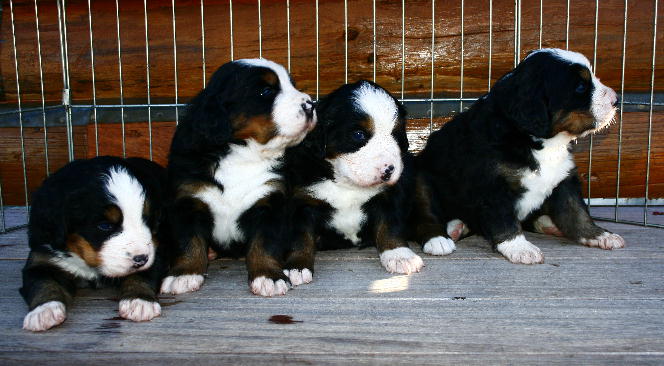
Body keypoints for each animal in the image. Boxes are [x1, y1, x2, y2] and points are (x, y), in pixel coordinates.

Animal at [21, 157, 167, 332]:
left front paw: (139, 301)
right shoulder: (43, 258)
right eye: (105, 226)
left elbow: (142, 275)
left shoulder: (156, 249)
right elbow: (44, 283)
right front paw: (43, 311)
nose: (141, 259)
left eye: (147, 219)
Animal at [161, 58, 316, 298]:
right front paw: (184, 274)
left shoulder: (270, 202)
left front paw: (268, 276)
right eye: (266, 91)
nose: (310, 105)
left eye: (293, 85)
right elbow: (188, 241)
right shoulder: (188, 199)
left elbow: (264, 243)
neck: (243, 153)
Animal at [284, 79, 420, 274]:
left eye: (395, 134)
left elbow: (390, 227)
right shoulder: (302, 203)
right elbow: (300, 238)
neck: (347, 183)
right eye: (358, 134)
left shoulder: (387, 197)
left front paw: (399, 255)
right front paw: (297, 267)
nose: (389, 169)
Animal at [412, 48, 624, 264]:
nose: (616, 100)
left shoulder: (563, 179)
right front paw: (520, 248)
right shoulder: (493, 185)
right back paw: (446, 233)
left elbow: (577, 212)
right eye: (581, 87)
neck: (537, 141)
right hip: (420, 179)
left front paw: (599, 235)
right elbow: (505, 220)